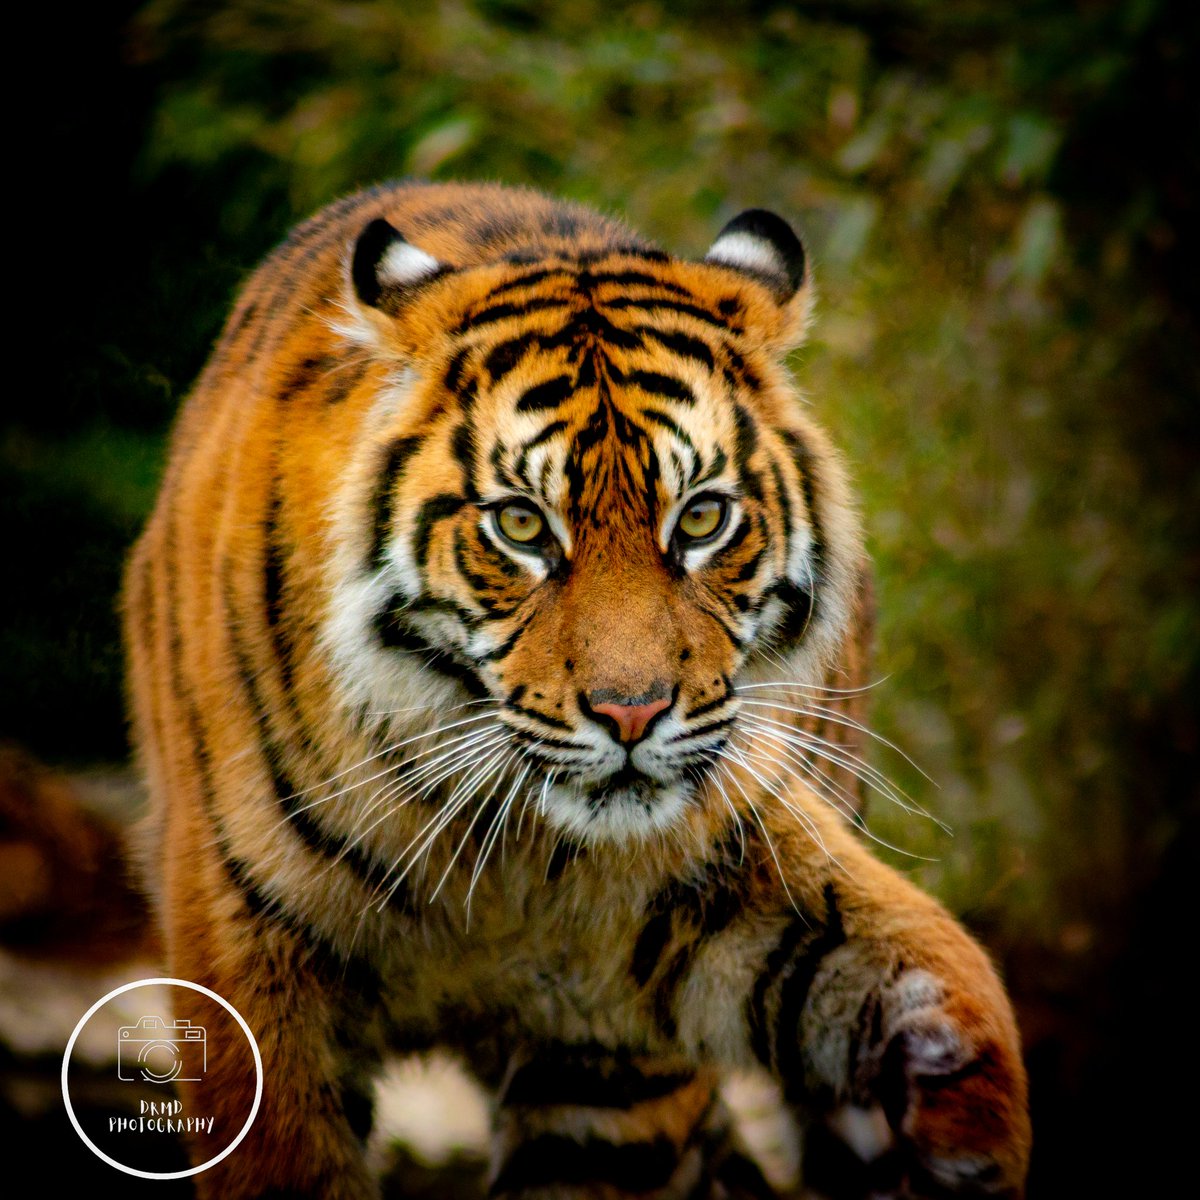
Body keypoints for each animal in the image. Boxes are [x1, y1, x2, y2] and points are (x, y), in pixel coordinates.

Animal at [124, 180, 1032, 1200]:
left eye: (702, 518)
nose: (632, 712)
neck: (505, 858)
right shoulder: (251, 971)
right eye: (522, 525)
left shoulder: (652, 987)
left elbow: (925, 964)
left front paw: (964, 1129)